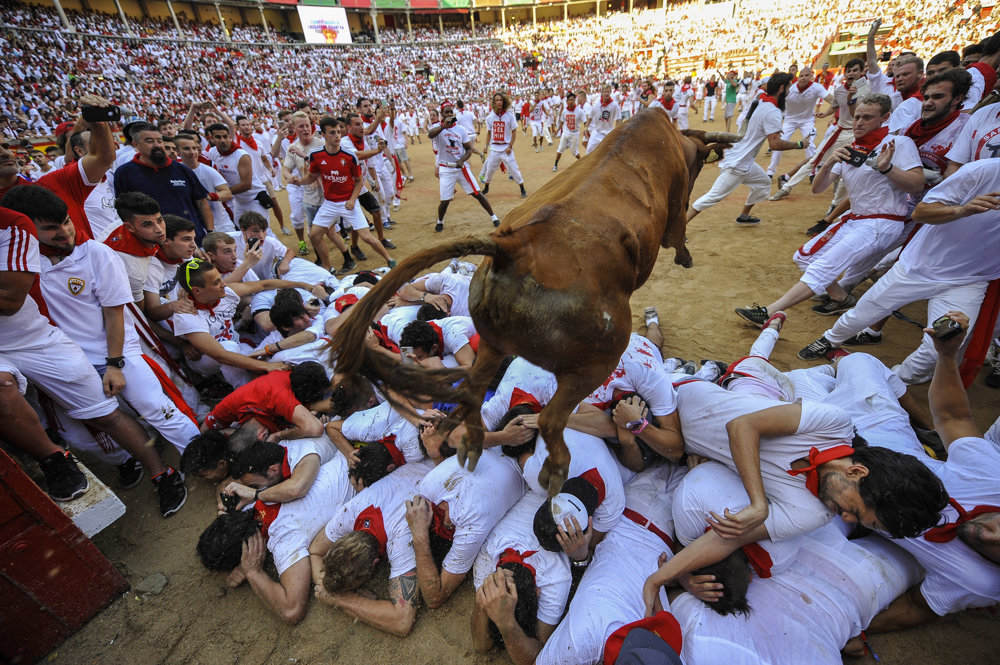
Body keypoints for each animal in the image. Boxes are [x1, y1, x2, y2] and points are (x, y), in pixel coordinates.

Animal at [332, 109, 740, 492]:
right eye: (698, 163)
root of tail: (513, 247)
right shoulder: (674, 213)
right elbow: (678, 232)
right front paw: (685, 257)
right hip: (596, 361)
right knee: (550, 419)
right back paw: (555, 470)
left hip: (492, 343)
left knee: (473, 391)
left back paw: (466, 441)